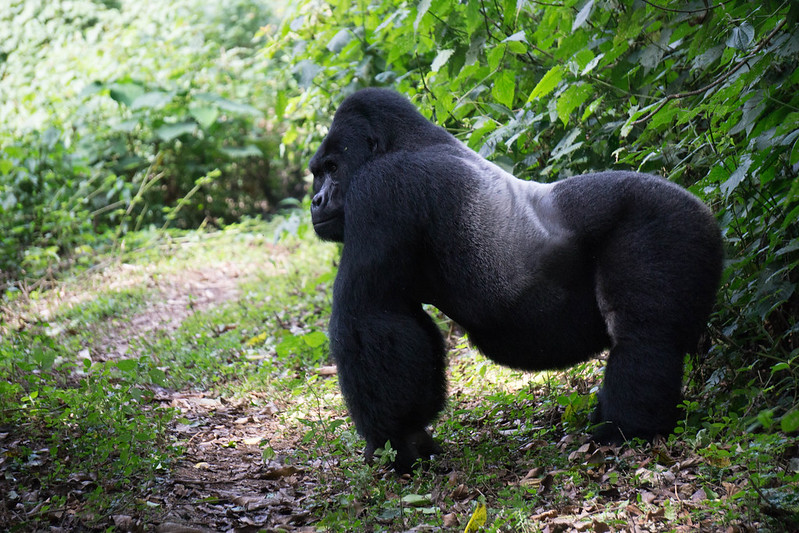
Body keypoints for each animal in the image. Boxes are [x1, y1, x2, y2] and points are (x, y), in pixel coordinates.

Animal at [310, 88, 724, 474]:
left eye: (332, 167)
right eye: (317, 173)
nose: (315, 200)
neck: (400, 142)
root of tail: (706, 210)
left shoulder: (380, 190)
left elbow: (368, 313)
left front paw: (399, 440)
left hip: (668, 225)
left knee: (645, 338)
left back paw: (624, 429)